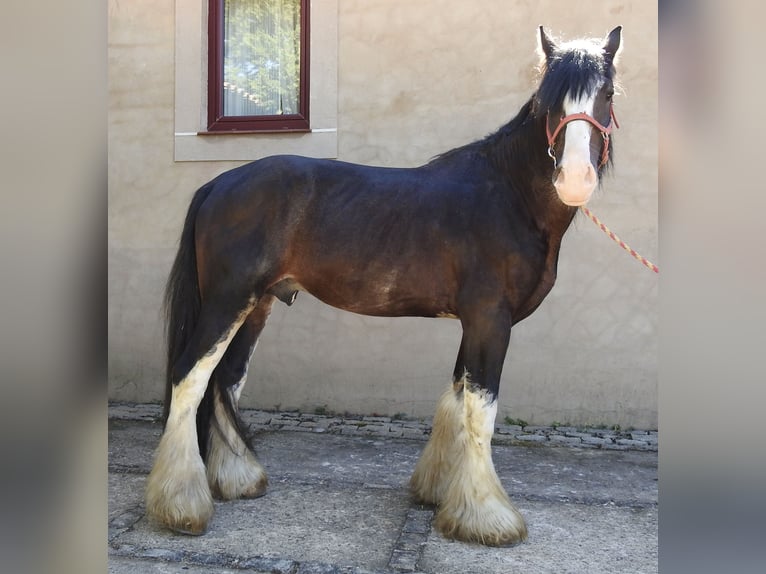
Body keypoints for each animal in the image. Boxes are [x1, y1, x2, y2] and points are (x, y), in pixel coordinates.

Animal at [146, 27, 624, 548]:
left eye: (607, 94)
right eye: (549, 100)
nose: (574, 178)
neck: (508, 195)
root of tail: (219, 184)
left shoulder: (473, 323)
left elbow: (457, 398)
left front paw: (440, 493)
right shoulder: (490, 320)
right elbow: (481, 410)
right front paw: (487, 518)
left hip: (256, 306)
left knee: (227, 380)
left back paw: (236, 480)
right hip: (227, 300)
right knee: (190, 378)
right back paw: (181, 506)